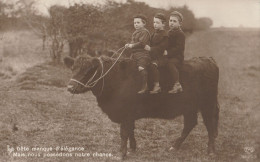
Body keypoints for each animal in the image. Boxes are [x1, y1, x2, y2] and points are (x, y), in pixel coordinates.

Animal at [63, 55, 219, 159]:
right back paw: (175, 146)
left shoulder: (126, 113)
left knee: (210, 125)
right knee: (190, 123)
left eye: (88, 70)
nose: (70, 87)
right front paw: (132, 148)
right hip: (189, 106)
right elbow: (131, 130)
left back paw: (211, 151)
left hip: (207, 104)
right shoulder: (129, 115)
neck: (116, 79)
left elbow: (124, 133)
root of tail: (207, 59)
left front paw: (122, 154)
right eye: (72, 68)